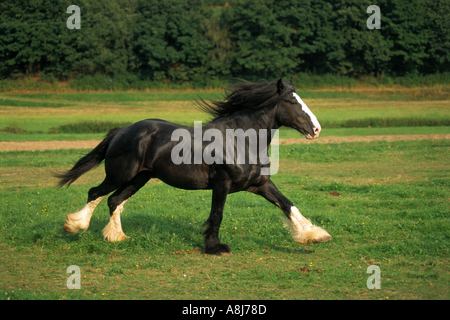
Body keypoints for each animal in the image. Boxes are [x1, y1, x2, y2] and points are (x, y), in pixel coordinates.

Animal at [54, 78, 332, 255]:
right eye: (293, 102)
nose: (317, 129)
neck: (240, 141)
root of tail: (123, 130)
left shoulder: (260, 184)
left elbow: (288, 205)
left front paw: (315, 235)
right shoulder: (222, 183)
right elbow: (217, 214)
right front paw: (215, 247)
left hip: (139, 178)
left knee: (114, 200)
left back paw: (116, 237)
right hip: (120, 174)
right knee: (95, 193)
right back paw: (75, 226)